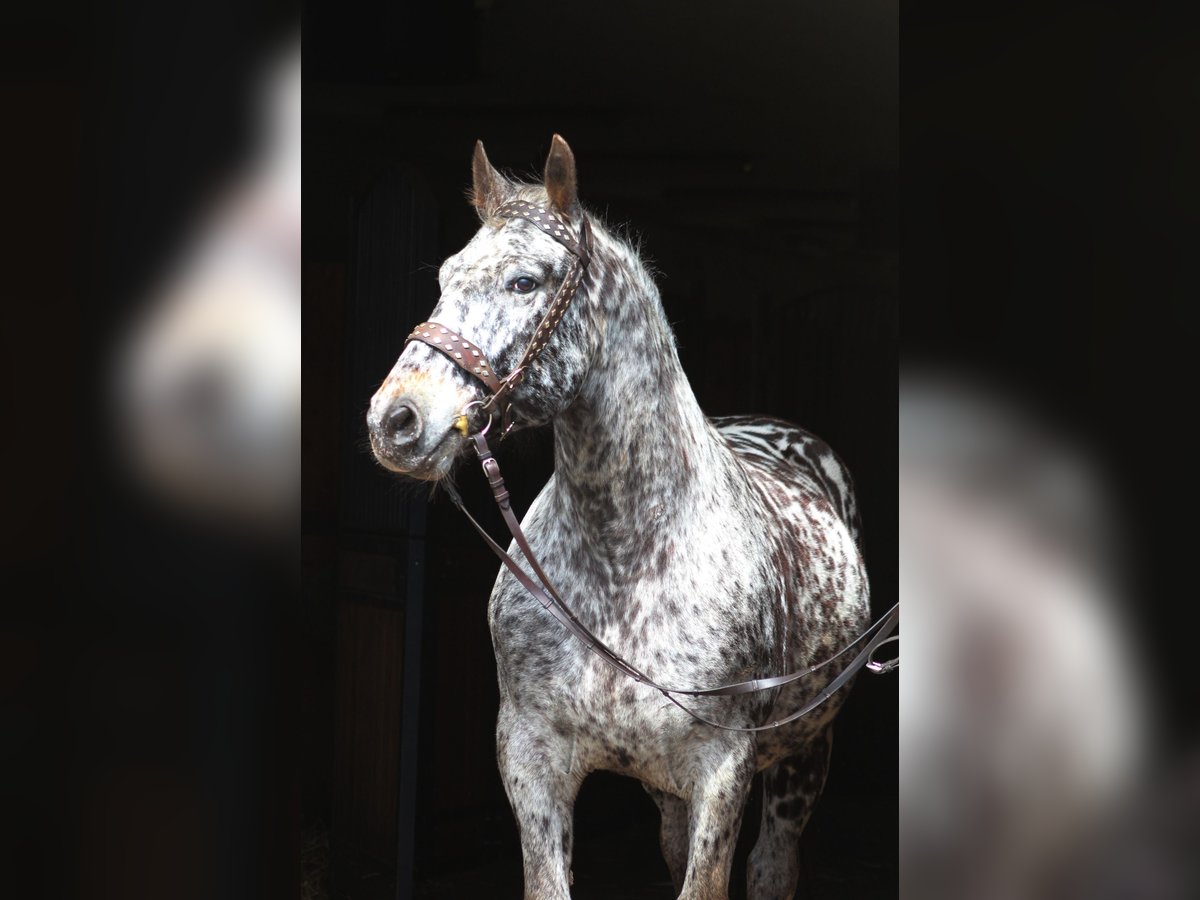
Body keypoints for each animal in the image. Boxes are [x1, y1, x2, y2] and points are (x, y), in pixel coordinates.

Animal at [368, 135, 871, 900]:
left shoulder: (722, 771)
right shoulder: (531, 758)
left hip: (802, 756)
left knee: (772, 867)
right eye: (448, 277)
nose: (395, 420)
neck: (623, 558)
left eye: (525, 281)